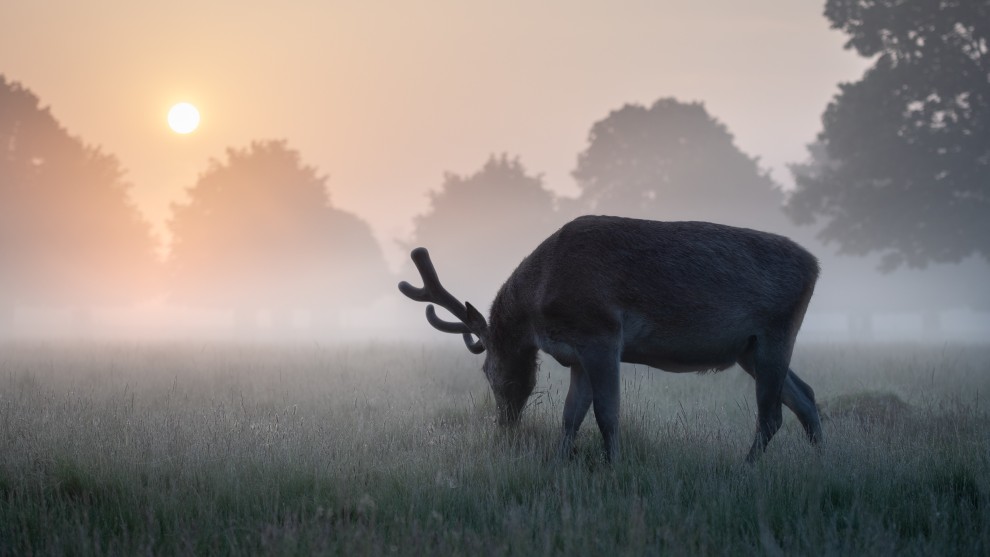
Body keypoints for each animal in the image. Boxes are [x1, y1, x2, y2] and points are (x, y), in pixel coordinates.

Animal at [399, 215, 823, 463]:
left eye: (487, 371)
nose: (505, 426)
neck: (540, 303)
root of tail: (816, 265)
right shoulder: (577, 353)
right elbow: (570, 416)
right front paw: (560, 464)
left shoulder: (601, 333)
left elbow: (607, 413)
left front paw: (613, 466)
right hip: (748, 349)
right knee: (805, 396)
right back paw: (821, 461)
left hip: (777, 329)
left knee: (772, 414)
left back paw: (746, 467)